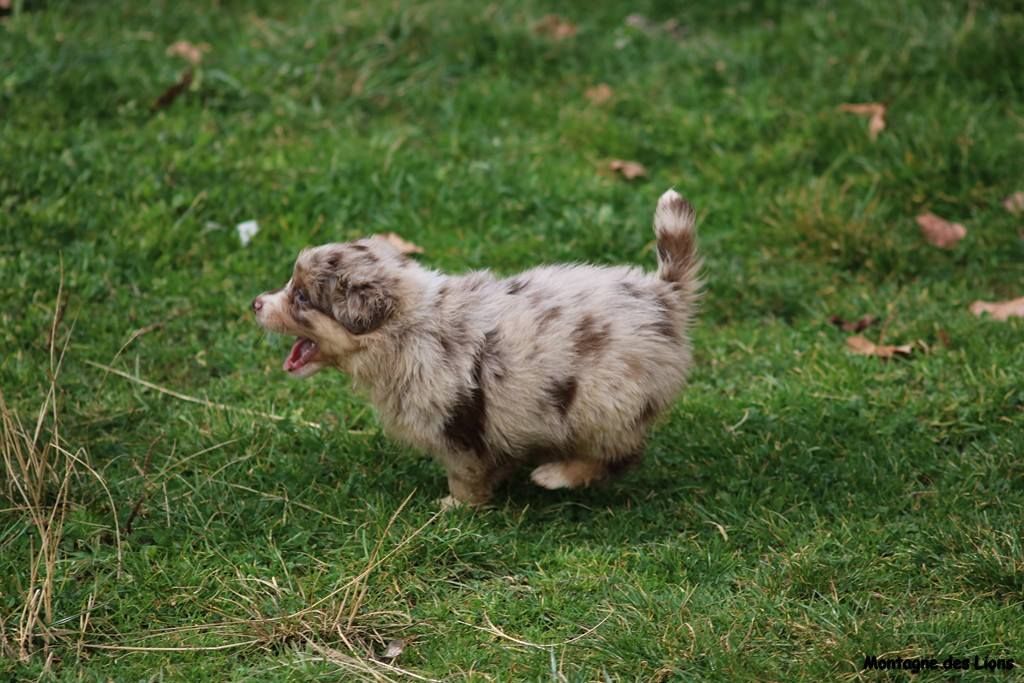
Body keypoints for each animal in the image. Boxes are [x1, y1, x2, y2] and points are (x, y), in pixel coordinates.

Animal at [253, 191, 704, 507]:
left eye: (301, 298)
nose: (256, 303)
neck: (406, 328)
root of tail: (664, 297)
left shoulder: (455, 427)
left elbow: (465, 475)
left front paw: (456, 507)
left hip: (604, 402)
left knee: (620, 454)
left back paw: (554, 475)